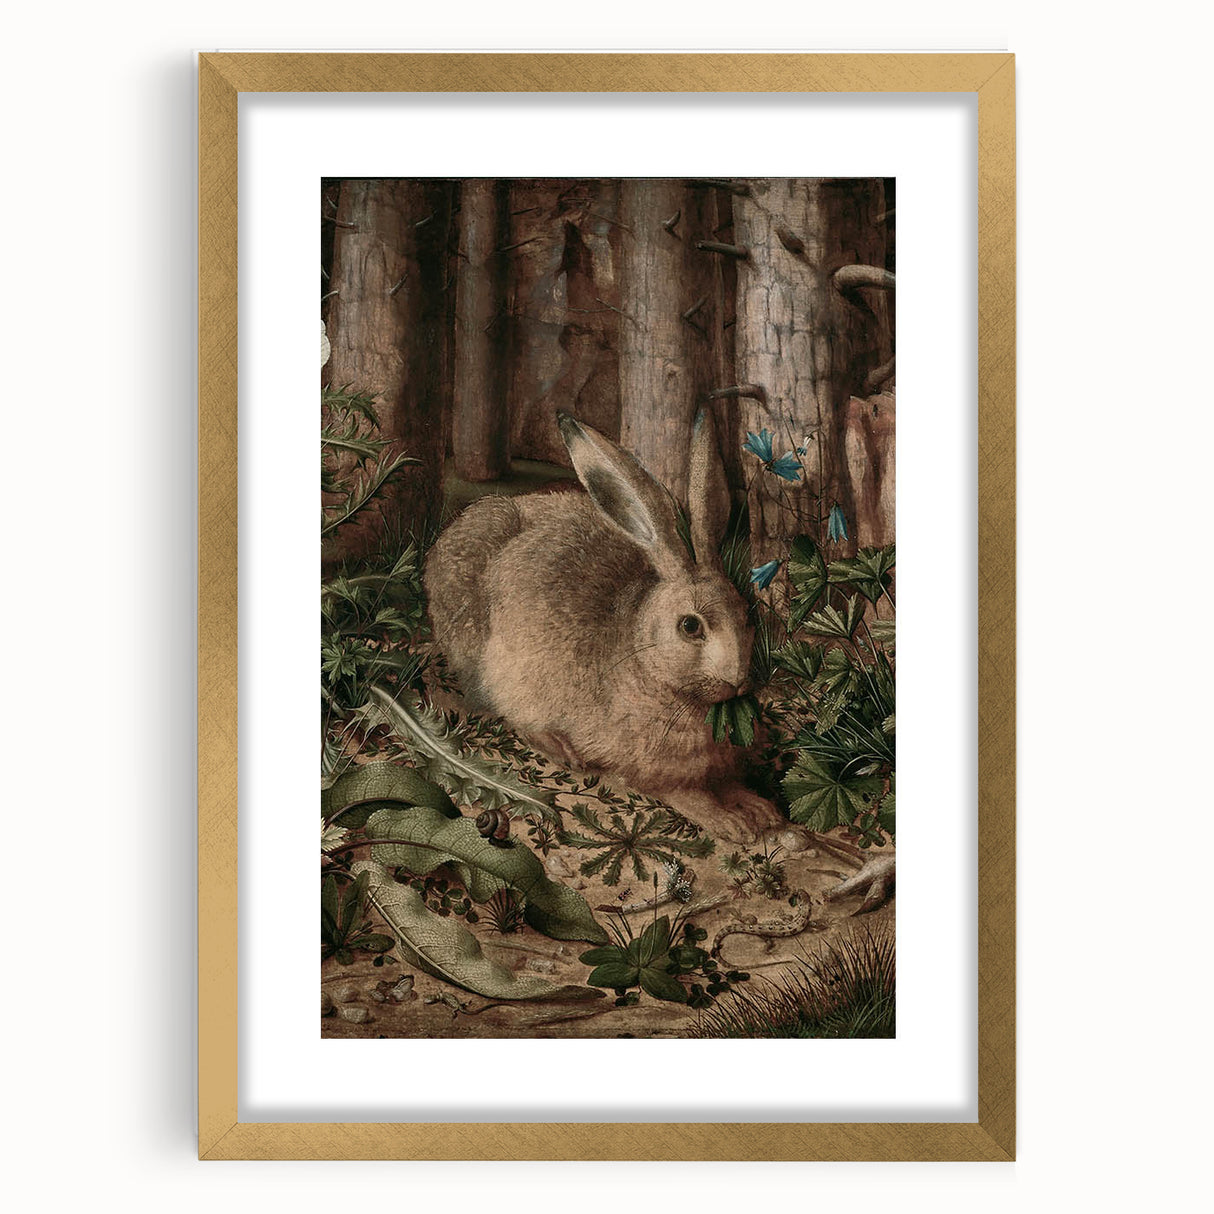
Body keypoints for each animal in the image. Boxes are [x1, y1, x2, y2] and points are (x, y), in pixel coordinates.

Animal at [424, 409, 788, 843]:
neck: (650, 666)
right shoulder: (650, 768)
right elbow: (687, 794)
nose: (737, 679)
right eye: (690, 626)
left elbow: (729, 783)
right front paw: (731, 822)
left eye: (746, 614)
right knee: (504, 706)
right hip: (486, 654)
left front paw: (761, 810)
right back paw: (561, 747)